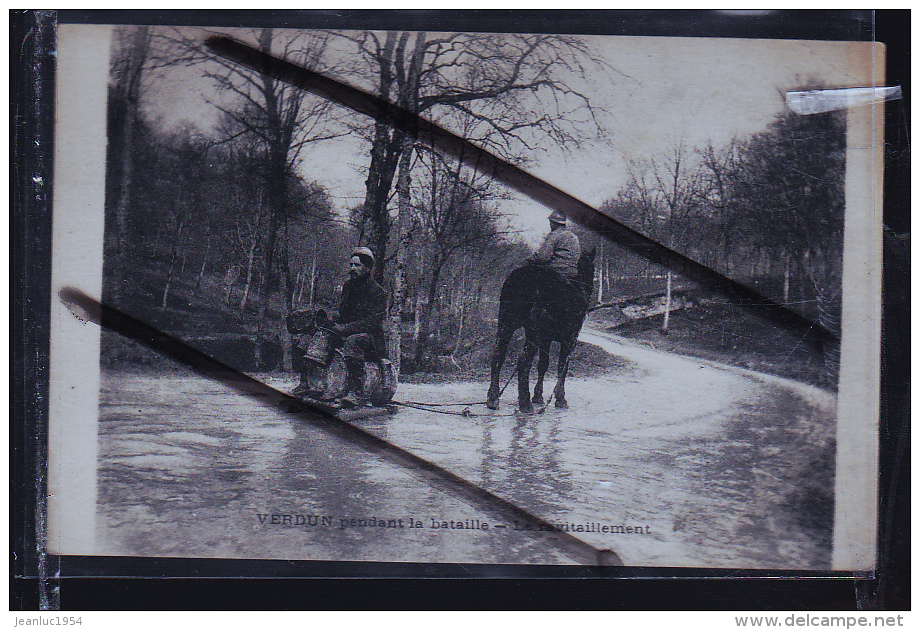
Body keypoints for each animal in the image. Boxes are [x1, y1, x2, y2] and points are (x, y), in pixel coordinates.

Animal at [488, 249, 596, 418]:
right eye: (592, 268)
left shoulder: (546, 338)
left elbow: (543, 364)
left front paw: (538, 395)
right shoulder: (569, 339)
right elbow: (562, 367)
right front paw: (560, 398)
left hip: (506, 324)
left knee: (498, 355)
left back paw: (493, 397)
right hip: (533, 331)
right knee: (524, 361)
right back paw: (525, 403)